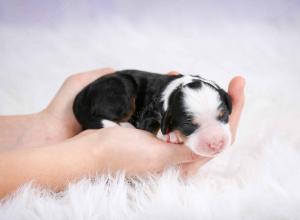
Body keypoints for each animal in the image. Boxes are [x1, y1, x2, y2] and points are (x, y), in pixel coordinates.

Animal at [72, 69, 232, 157]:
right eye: (188, 124)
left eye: (223, 115)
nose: (217, 144)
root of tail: (82, 94)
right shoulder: (147, 115)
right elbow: (154, 126)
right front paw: (171, 135)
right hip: (121, 92)